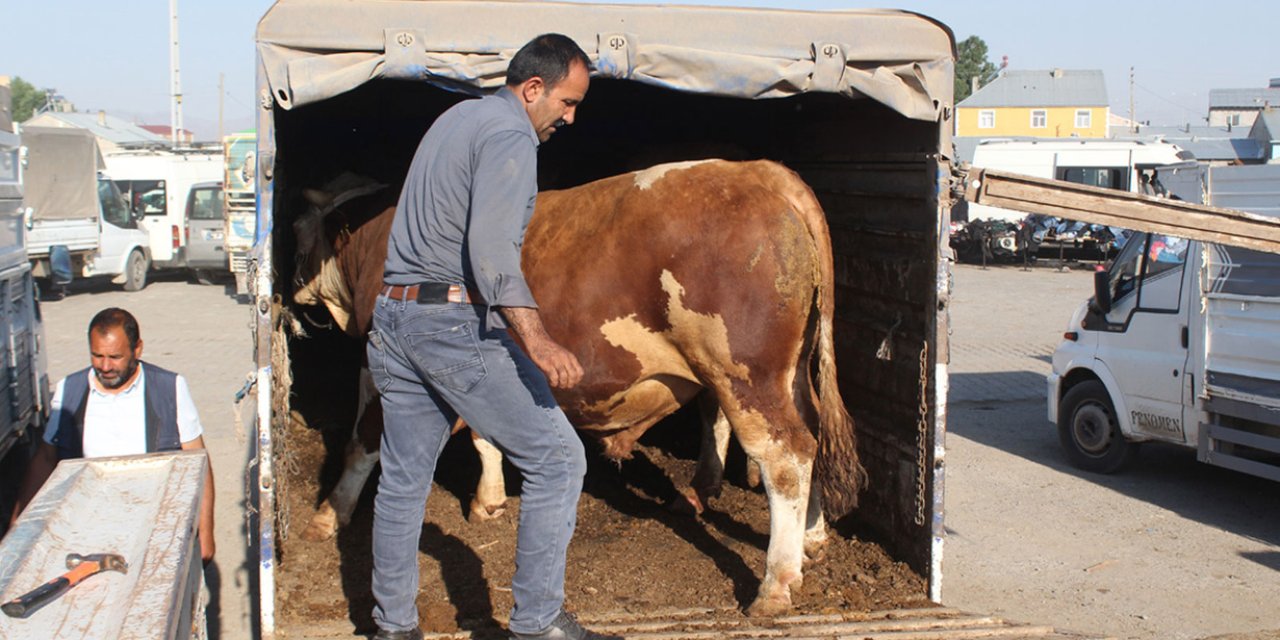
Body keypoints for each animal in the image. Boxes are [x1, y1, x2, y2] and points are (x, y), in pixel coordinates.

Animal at [291, 160, 870, 614]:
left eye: (297, 229)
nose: (291, 288)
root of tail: (758, 172)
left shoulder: (385, 364)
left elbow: (362, 442)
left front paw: (328, 516)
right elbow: (483, 436)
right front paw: (488, 501)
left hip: (745, 374)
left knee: (786, 458)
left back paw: (775, 584)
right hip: (790, 374)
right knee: (814, 438)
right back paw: (813, 538)